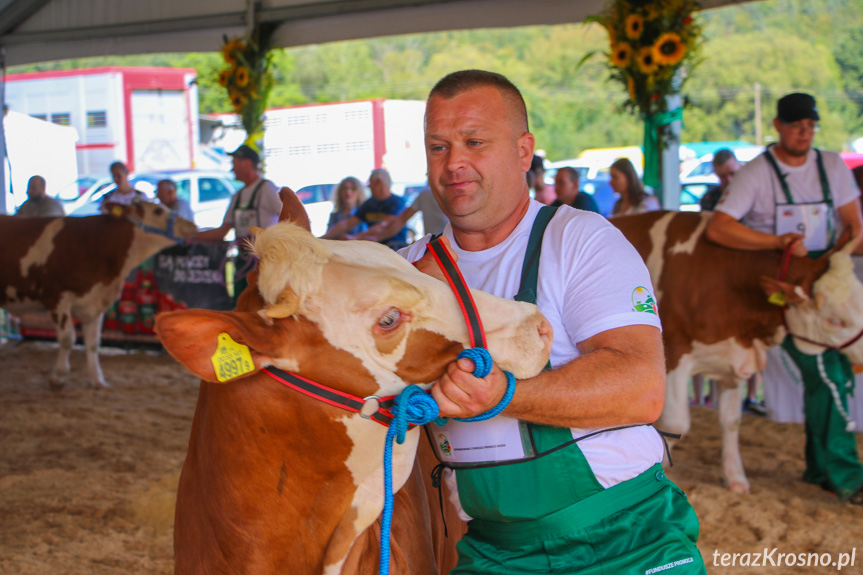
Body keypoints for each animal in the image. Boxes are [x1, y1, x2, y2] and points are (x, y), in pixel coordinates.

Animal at [0, 204, 197, 392]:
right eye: (157, 210)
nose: (191, 225)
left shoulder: (94, 303)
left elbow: (93, 343)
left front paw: (97, 380)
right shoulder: (56, 297)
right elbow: (67, 339)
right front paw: (58, 378)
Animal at [612, 214, 863, 492]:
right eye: (835, 321)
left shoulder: (733, 360)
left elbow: (730, 421)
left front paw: (735, 477)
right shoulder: (675, 356)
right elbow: (676, 422)